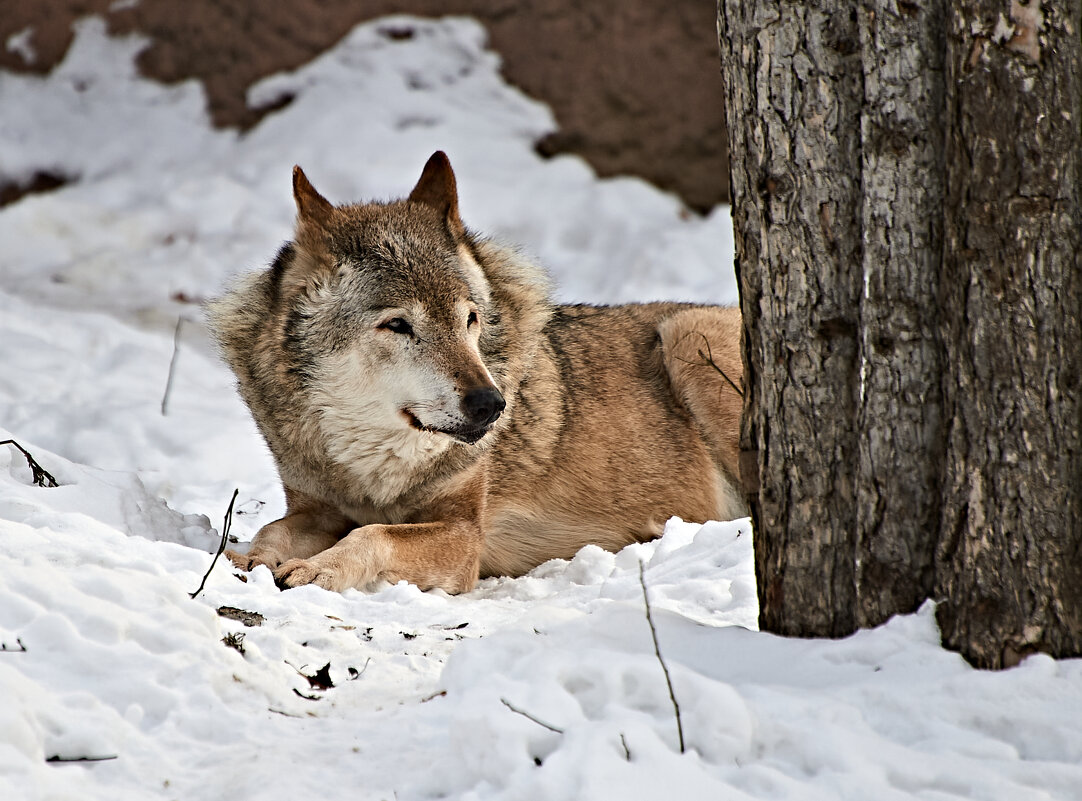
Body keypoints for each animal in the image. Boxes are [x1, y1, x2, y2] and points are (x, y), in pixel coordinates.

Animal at [208, 151, 744, 593]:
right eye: (398, 325)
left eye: (470, 319)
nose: (491, 404)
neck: (370, 460)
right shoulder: (315, 510)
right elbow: (272, 530)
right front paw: (247, 561)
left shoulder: (464, 534)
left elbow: (373, 533)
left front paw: (318, 569)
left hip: (688, 334)